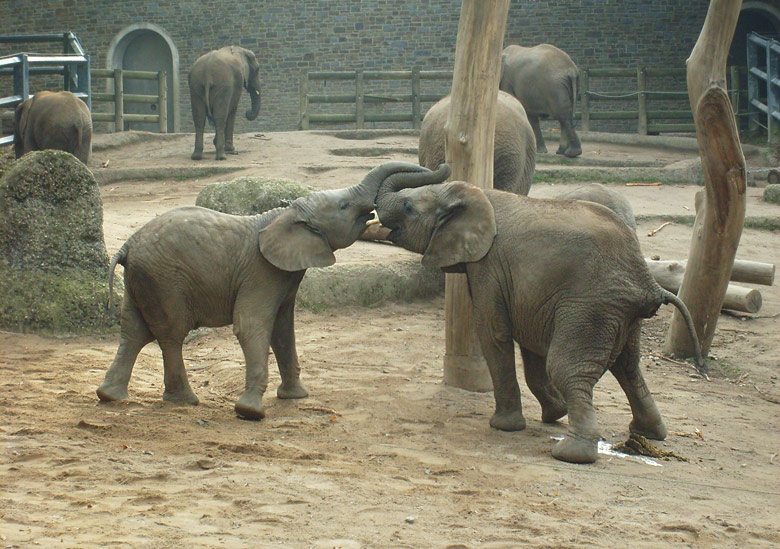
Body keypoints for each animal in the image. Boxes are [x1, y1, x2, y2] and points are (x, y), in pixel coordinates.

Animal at [97, 161, 450, 418]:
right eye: (344, 205)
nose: (445, 165)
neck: (285, 214)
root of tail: (126, 246)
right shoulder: (261, 272)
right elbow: (252, 326)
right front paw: (250, 412)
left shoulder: (285, 276)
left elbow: (283, 330)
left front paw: (296, 397)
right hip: (165, 277)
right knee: (170, 333)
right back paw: (184, 401)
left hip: (143, 278)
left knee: (133, 331)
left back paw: (109, 396)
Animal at [374, 166, 708, 462]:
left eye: (407, 206)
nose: (441, 165)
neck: (477, 194)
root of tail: (649, 284)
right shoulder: (528, 291)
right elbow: (530, 343)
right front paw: (555, 413)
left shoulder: (489, 266)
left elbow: (494, 333)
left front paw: (504, 426)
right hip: (622, 315)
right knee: (628, 367)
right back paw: (649, 433)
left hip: (590, 307)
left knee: (567, 368)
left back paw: (572, 454)